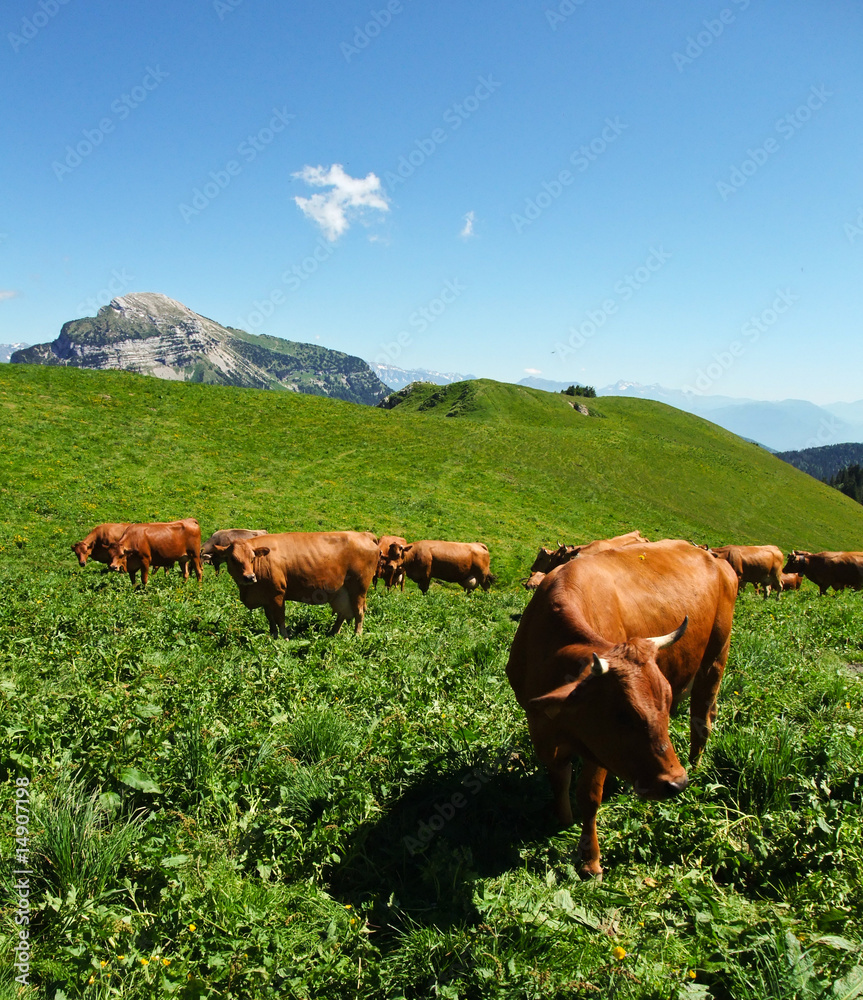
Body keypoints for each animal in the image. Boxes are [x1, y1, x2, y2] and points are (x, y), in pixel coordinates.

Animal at [213, 531, 380, 637]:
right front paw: (273, 635)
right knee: (343, 613)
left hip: (359, 589)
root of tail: (364, 534)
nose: (249, 577)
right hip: (342, 592)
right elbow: (270, 618)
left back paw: (356, 636)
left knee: (359, 612)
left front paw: (284, 637)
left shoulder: (278, 594)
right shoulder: (266, 597)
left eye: (252, 558)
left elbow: (280, 618)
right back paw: (333, 633)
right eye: (232, 559)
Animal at [506, 540, 738, 878]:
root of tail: (712, 556)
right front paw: (562, 819)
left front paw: (590, 860)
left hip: (715, 657)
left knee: (702, 717)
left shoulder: (599, 751)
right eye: (622, 715)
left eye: (665, 703)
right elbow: (558, 776)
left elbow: (589, 796)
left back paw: (696, 765)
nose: (677, 782)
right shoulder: (540, 725)